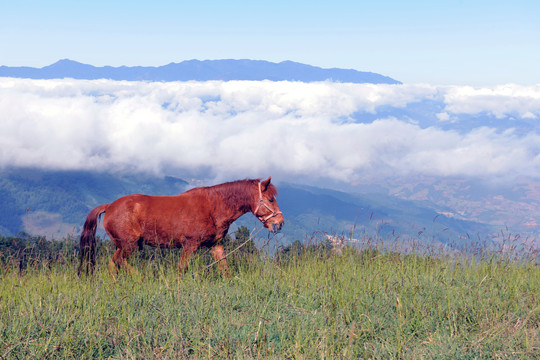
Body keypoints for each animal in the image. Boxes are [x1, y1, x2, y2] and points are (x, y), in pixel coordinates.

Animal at [79, 176, 286, 276]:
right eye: (270, 199)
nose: (279, 223)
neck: (212, 206)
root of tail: (110, 206)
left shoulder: (215, 246)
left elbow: (224, 269)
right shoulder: (189, 245)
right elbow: (182, 270)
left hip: (122, 246)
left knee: (112, 264)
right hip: (129, 246)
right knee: (120, 263)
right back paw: (140, 278)